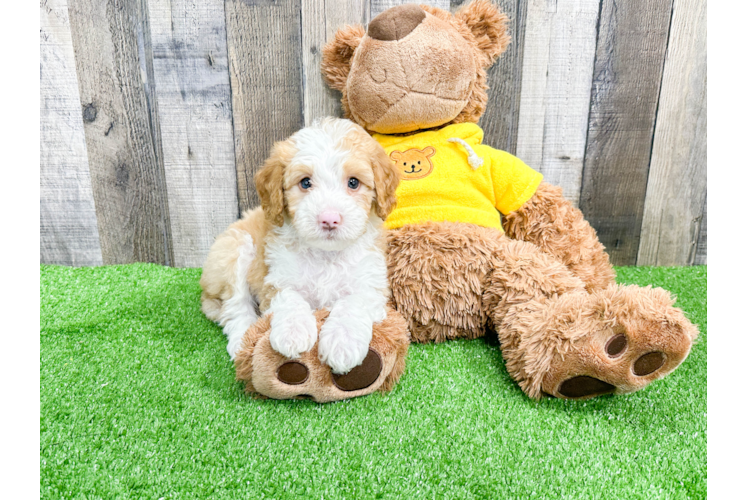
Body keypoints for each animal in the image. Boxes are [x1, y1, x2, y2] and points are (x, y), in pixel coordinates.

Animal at [196, 118, 400, 372]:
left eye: (354, 182)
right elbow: (290, 298)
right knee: (235, 305)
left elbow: (354, 301)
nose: (329, 219)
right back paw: (242, 339)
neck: (326, 255)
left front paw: (343, 342)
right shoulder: (275, 278)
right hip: (235, 250)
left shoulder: (372, 283)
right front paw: (292, 332)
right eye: (305, 182)